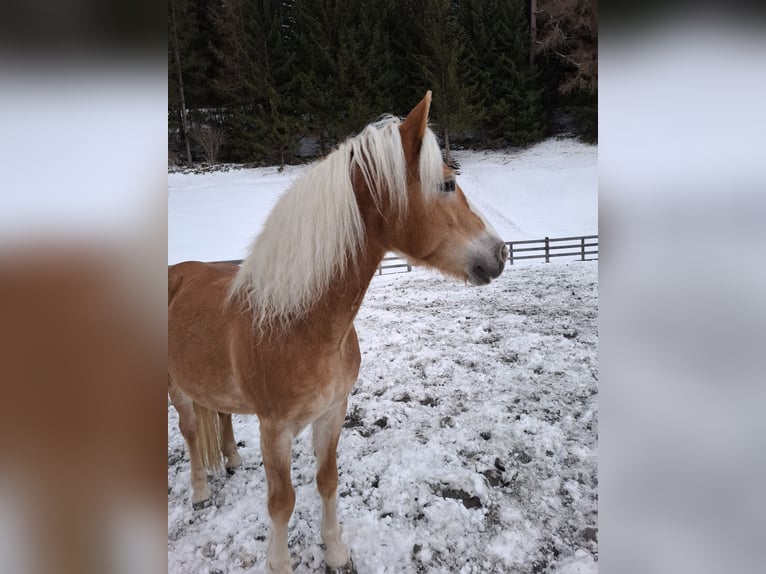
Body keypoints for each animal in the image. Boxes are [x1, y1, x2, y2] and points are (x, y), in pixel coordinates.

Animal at [171, 92, 512, 572]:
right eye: (447, 184)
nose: (500, 252)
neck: (297, 323)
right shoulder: (274, 431)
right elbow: (281, 502)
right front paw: (280, 562)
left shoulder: (332, 413)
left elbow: (327, 481)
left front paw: (335, 551)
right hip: (177, 390)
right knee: (189, 432)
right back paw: (200, 493)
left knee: (219, 415)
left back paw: (233, 460)